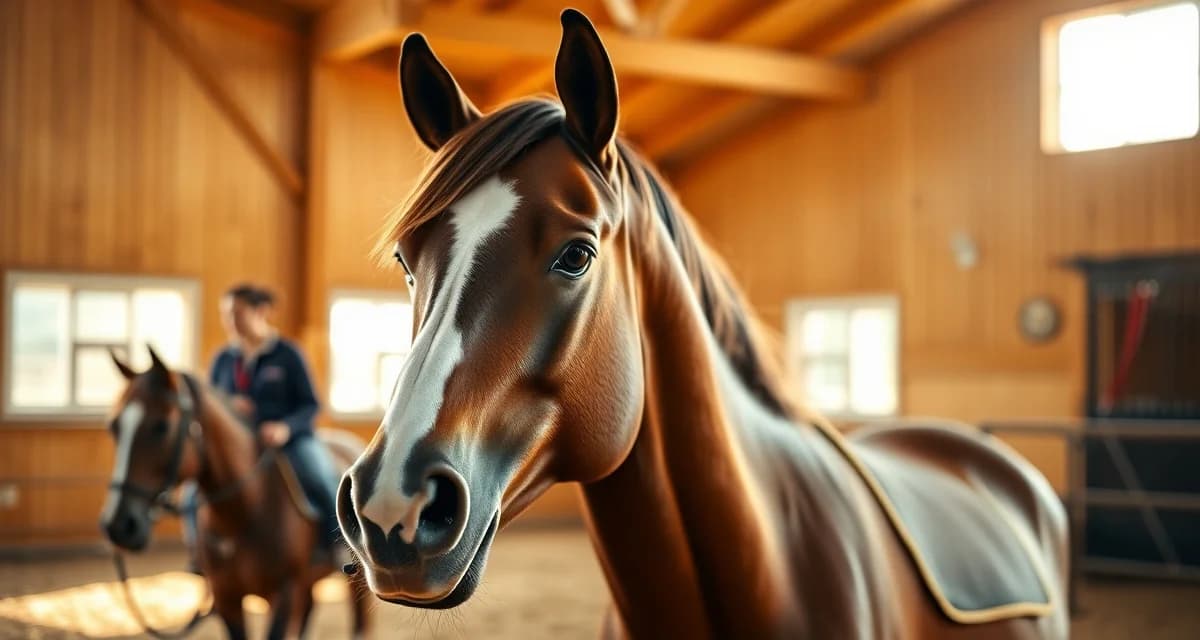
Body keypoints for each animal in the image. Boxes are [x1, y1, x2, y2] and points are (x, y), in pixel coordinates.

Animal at [99, 347, 372, 640]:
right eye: (114, 426)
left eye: (161, 426)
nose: (118, 525)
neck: (246, 512)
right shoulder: (227, 599)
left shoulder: (284, 594)